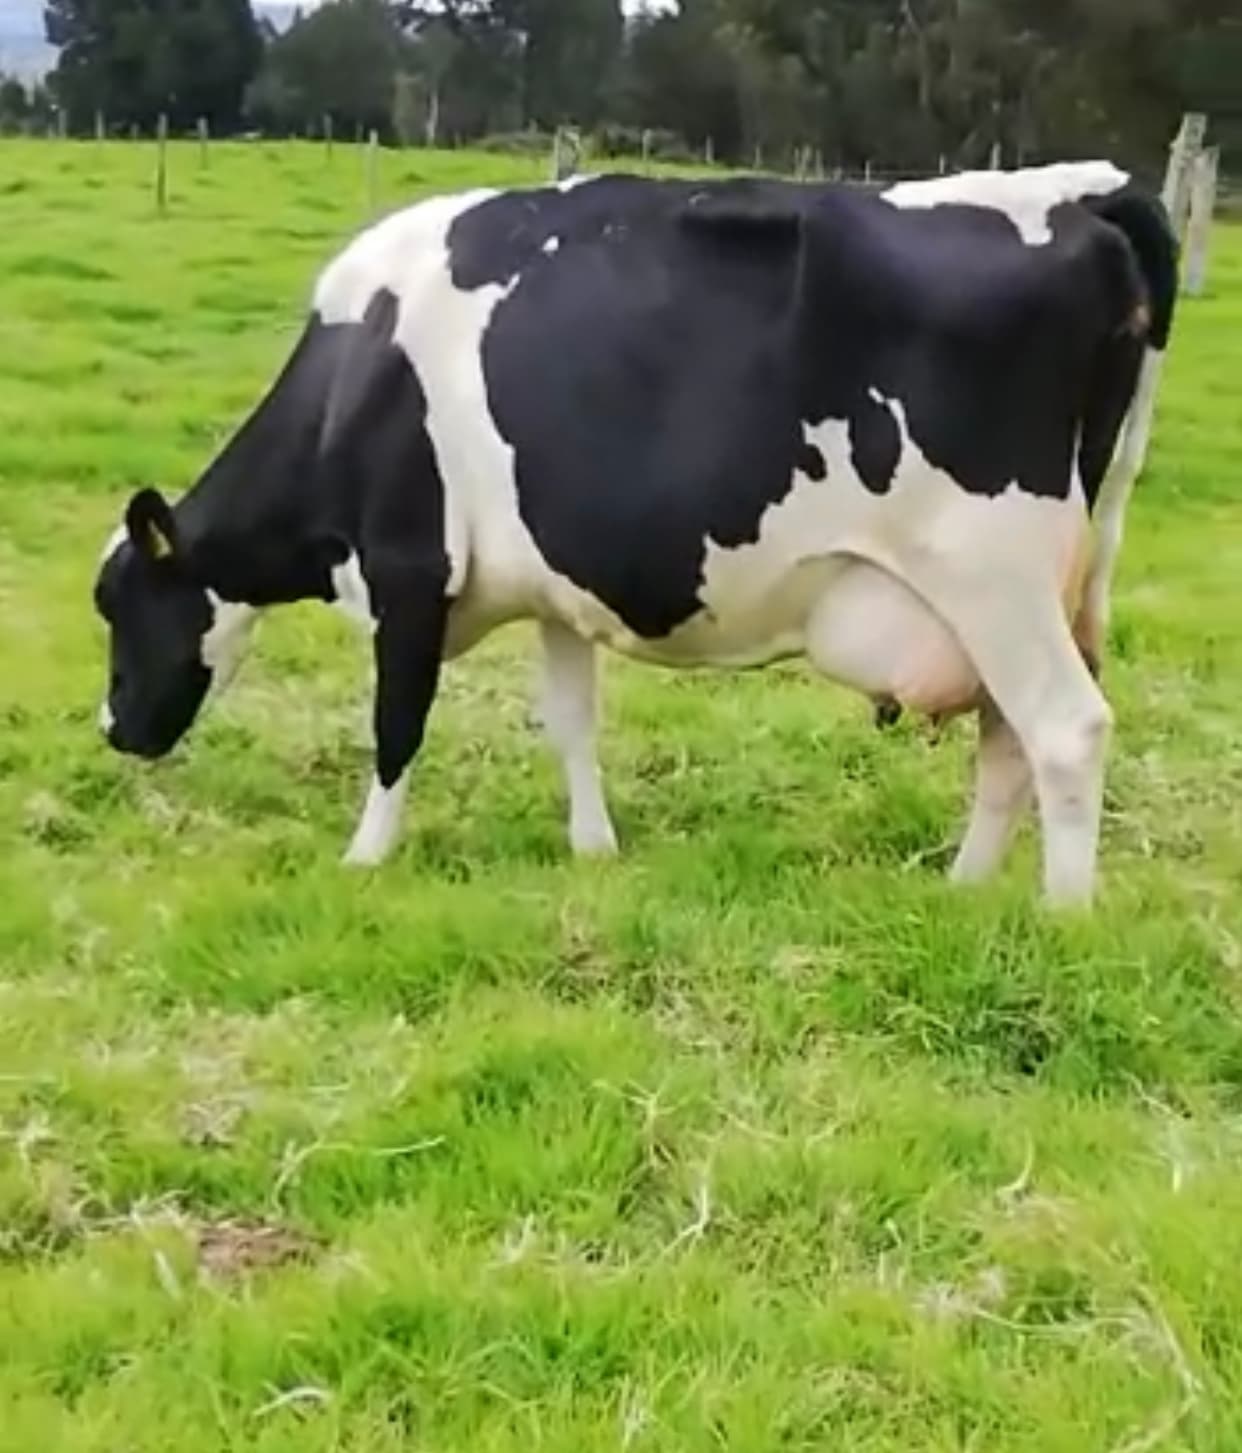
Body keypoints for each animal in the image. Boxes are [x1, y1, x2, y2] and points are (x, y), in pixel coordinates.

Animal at [92, 161, 1177, 906]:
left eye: (119, 605)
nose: (112, 729)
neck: (355, 379)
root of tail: (1081, 193)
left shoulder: (407, 570)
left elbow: (396, 725)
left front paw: (364, 858)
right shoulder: (551, 589)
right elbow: (572, 720)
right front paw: (593, 848)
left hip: (990, 574)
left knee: (1065, 730)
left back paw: (1060, 919)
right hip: (1047, 588)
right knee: (1008, 737)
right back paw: (966, 892)